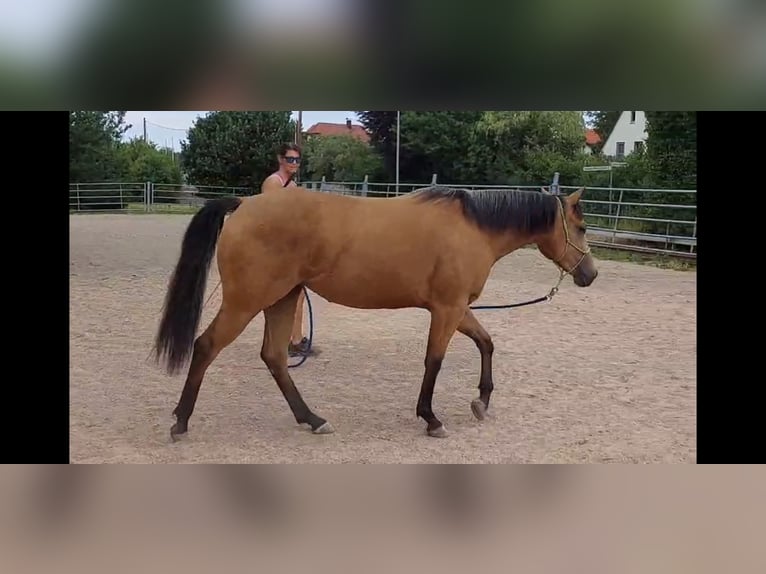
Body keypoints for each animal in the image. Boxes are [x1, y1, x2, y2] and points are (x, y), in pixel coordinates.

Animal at [153, 185, 598, 441]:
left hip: (283, 298)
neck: (473, 228)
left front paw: (482, 401)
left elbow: (486, 343)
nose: (590, 274)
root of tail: (245, 203)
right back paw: (181, 422)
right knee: (206, 346)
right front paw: (431, 418)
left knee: (275, 358)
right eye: (582, 228)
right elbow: (434, 361)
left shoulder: (457, 308)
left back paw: (312, 419)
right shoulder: (447, 309)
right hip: (247, 302)